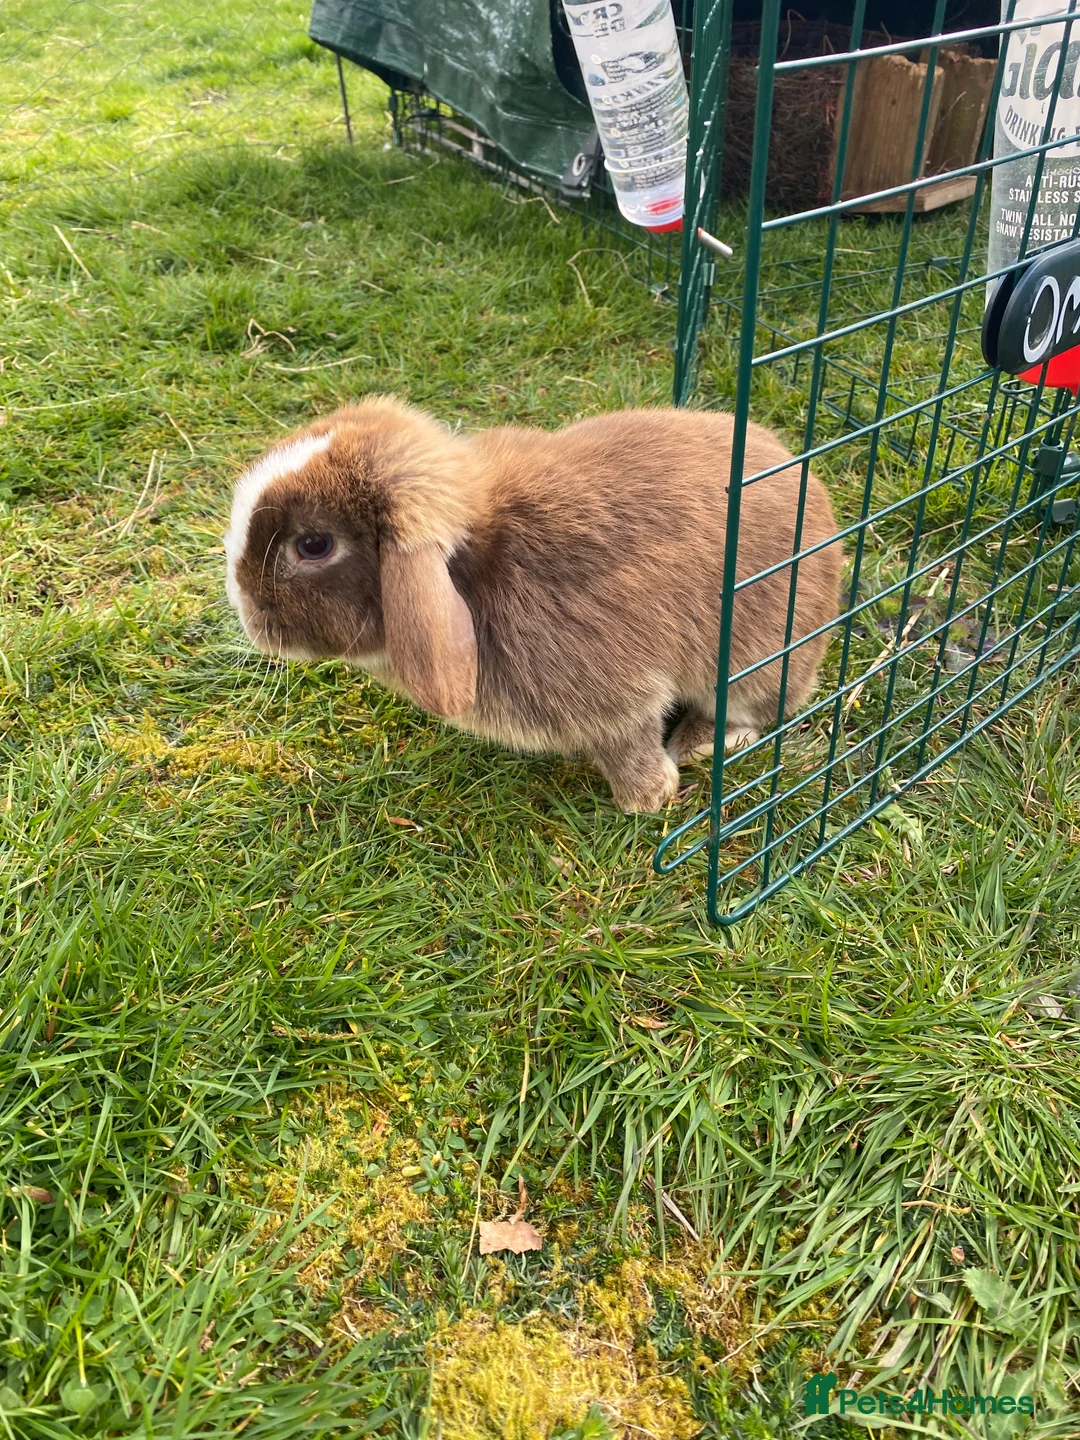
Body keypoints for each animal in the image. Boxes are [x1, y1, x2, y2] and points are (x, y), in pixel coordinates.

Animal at [224, 397, 842, 813]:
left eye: (313, 545)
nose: (243, 607)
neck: (472, 571)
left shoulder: (614, 696)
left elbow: (628, 741)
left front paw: (647, 800)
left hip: (755, 658)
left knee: (762, 706)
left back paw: (699, 744)